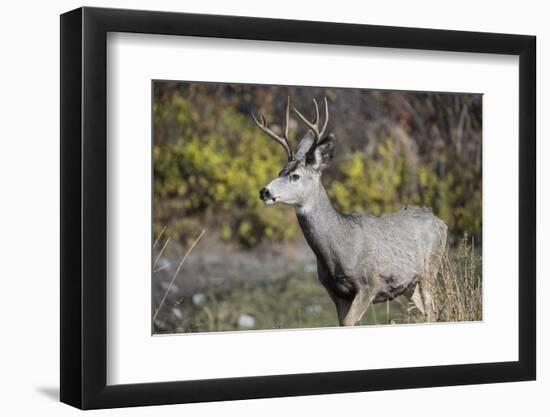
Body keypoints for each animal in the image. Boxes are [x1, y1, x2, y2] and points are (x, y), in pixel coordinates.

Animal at [253, 97, 448, 324]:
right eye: (279, 171)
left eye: (295, 176)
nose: (264, 191)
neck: (340, 248)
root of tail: (440, 221)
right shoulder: (336, 292)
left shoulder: (369, 283)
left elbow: (349, 322)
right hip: (409, 283)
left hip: (430, 267)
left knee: (432, 309)